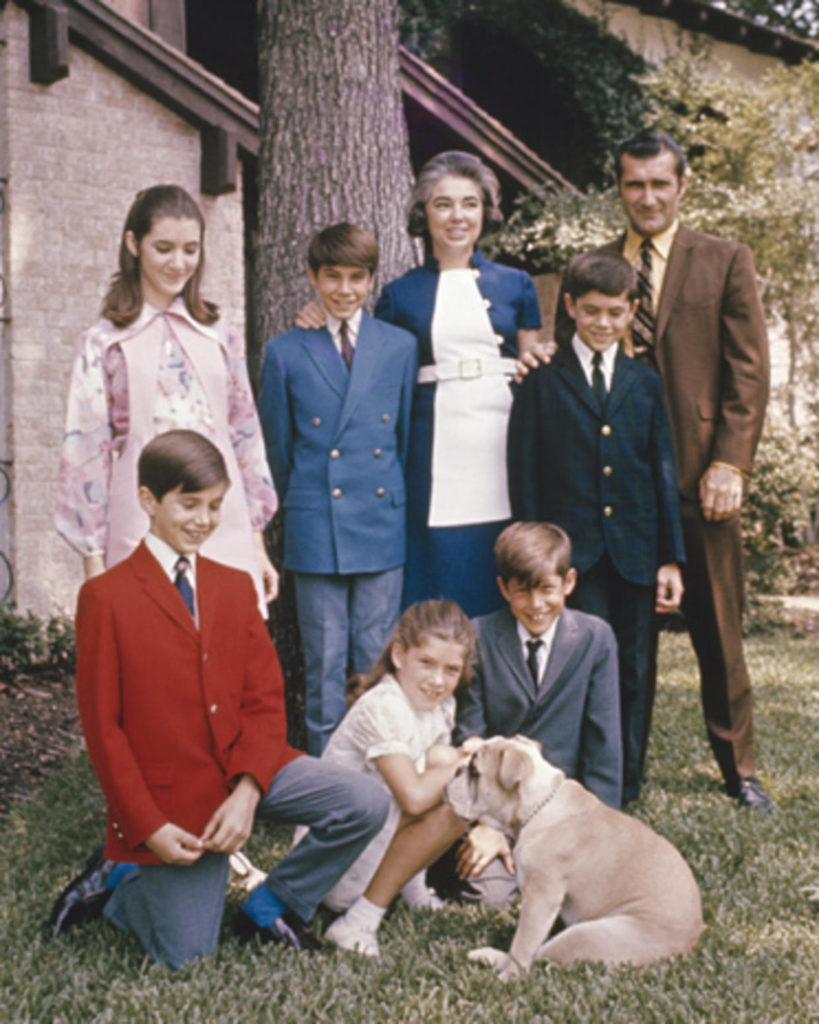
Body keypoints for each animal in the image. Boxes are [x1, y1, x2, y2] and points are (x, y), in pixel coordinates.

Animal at [444, 737, 708, 974]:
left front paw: (509, 979)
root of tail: (690, 943)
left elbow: (523, 945)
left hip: (585, 935)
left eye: (475, 771)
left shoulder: (541, 898)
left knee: (538, 955)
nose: (456, 770)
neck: (538, 806)